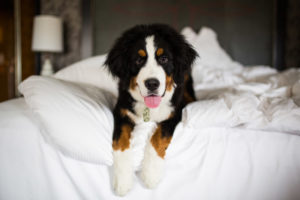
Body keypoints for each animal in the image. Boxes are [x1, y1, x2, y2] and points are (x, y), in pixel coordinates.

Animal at [104, 23, 198, 195]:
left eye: (164, 58)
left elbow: (158, 137)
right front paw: (123, 180)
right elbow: (120, 143)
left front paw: (150, 174)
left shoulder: (174, 113)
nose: (152, 83)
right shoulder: (121, 112)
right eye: (138, 60)